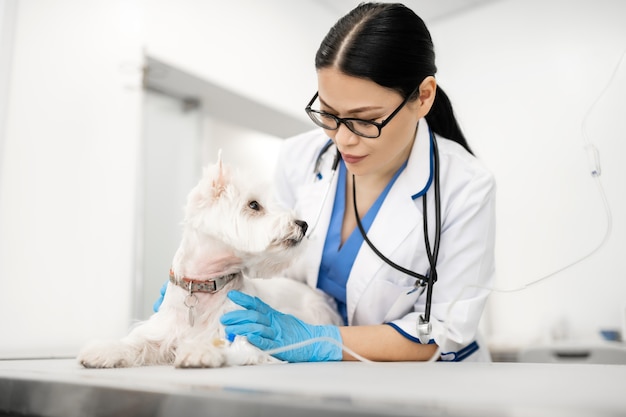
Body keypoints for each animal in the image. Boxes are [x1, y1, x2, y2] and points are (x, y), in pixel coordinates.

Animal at [78, 157, 344, 368]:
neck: (204, 286)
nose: (303, 224)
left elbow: (226, 344)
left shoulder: (248, 334)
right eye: (254, 205)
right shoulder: (161, 332)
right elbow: (136, 343)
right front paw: (103, 351)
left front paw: (199, 351)